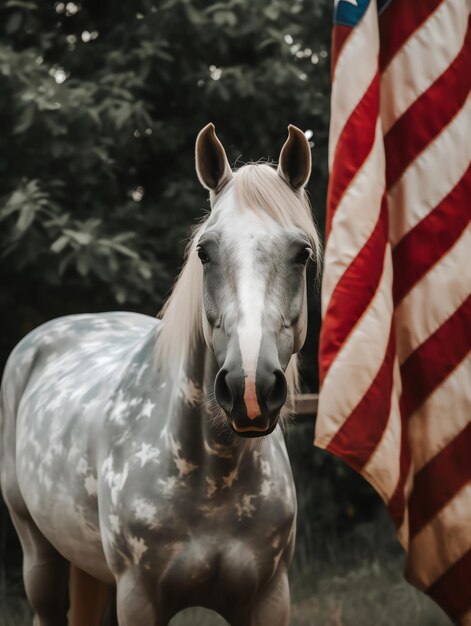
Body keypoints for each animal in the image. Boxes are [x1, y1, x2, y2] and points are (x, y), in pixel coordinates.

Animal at [0, 123, 320, 624]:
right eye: (205, 252)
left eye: (301, 253)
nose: (250, 388)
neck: (212, 475)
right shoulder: (139, 598)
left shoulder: (269, 597)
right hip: (39, 556)